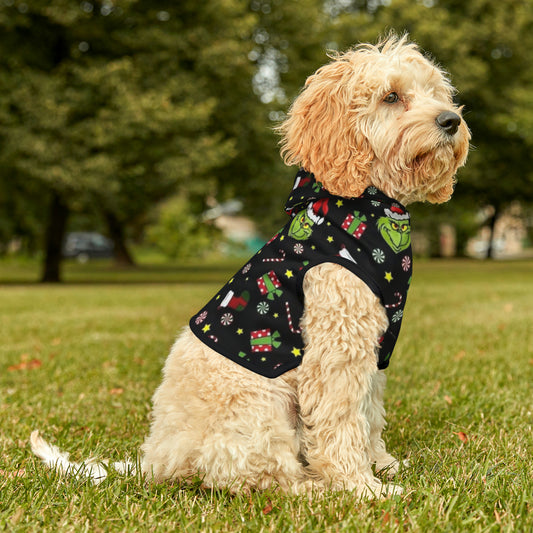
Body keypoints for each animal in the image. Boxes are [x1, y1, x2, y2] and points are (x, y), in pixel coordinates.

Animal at [31, 35, 468, 496]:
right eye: (391, 97)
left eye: (435, 92)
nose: (451, 120)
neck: (367, 206)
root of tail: (156, 461)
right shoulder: (337, 346)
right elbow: (342, 420)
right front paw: (361, 487)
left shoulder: (373, 349)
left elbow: (369, 413)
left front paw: (382, 464)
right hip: (260, 407)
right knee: (259, 476)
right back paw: (312, 487)